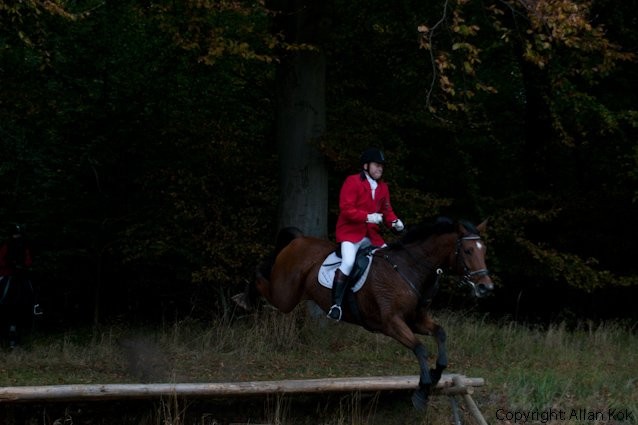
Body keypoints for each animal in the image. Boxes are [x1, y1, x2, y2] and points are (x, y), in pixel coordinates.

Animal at [233, 217, 493, 410]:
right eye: (468, 250)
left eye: (484, 251)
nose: (486, 288)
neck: (410, 269)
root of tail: (299, 240)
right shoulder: (391, 323)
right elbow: (420, 348)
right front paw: (423, 389)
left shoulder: (415, 320)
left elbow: (440, 334)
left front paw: (437, 373)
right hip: (284, 296)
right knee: (260, 276)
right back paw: (244, 298)